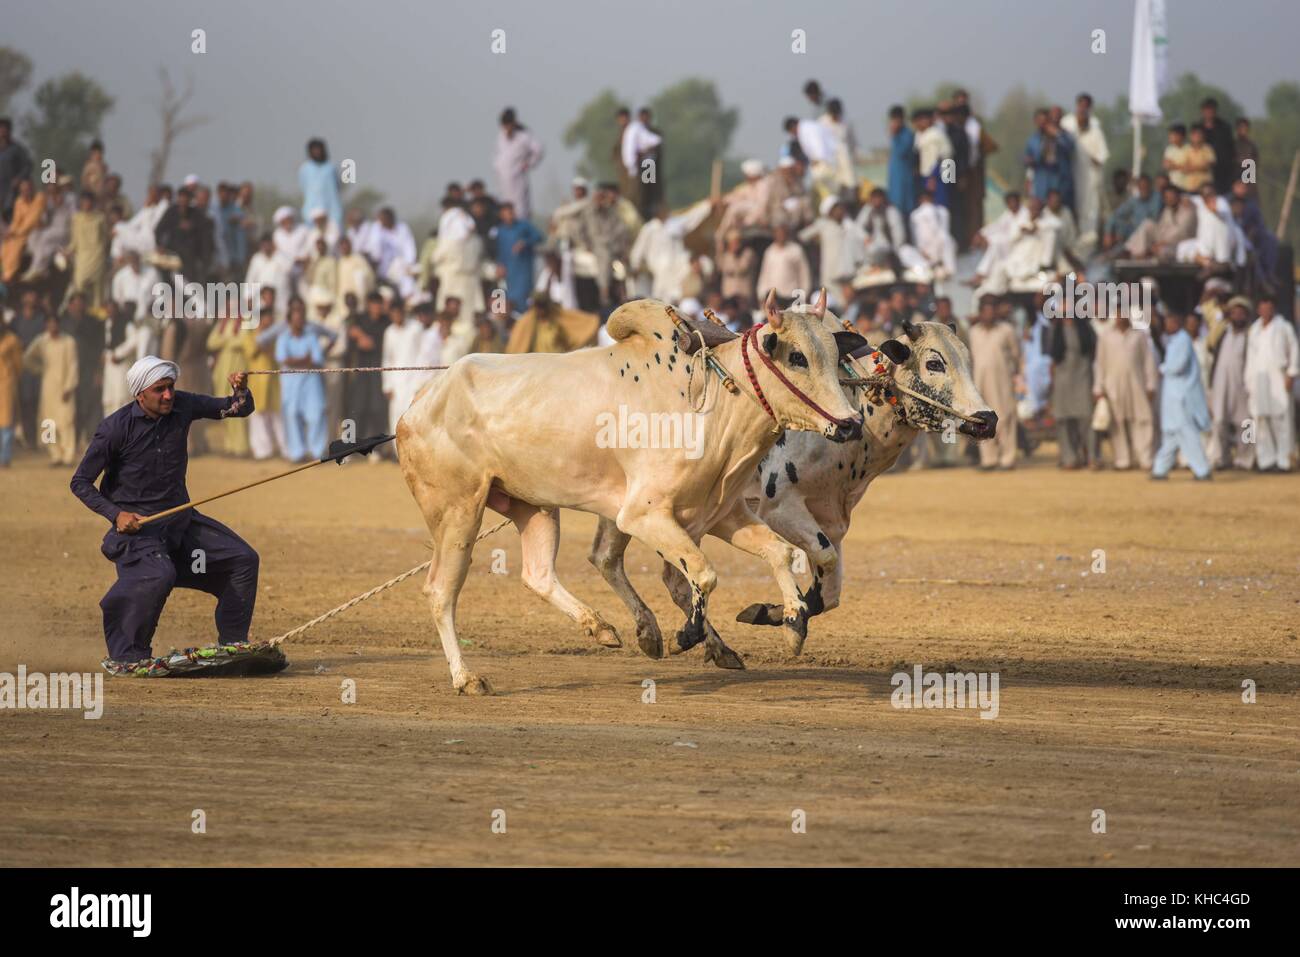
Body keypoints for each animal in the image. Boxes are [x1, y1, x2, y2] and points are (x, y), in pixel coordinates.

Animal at [392, 287, 863, 691]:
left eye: (834, 352)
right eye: (797, 356)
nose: (850, 423)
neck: (708, 401)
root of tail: (420, 400)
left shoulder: (723, 514)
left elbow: (780, 553)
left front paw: (794, 624)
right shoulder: (642, 515)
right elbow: (703, 574)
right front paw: (686, 635)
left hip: (534, 507)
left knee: (538, 574)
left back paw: (600, 626)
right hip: (458, 512)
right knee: (440, 591)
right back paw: (465, 677)